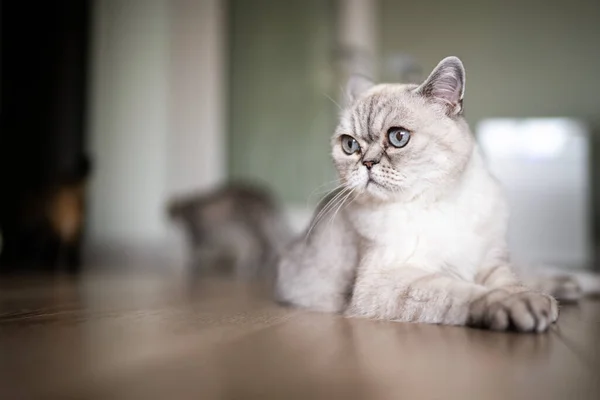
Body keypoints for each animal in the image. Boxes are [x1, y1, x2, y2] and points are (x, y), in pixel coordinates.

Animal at [274, 55, 596, 332]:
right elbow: (469, 293)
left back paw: (573, 286)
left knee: (535, 272)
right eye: (350, 145)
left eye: (398, 137)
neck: (440, 201)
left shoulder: (489, 262)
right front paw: (524, 307)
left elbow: (508, 284)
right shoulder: (388, 280)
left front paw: (536, 303)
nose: (367, 163)